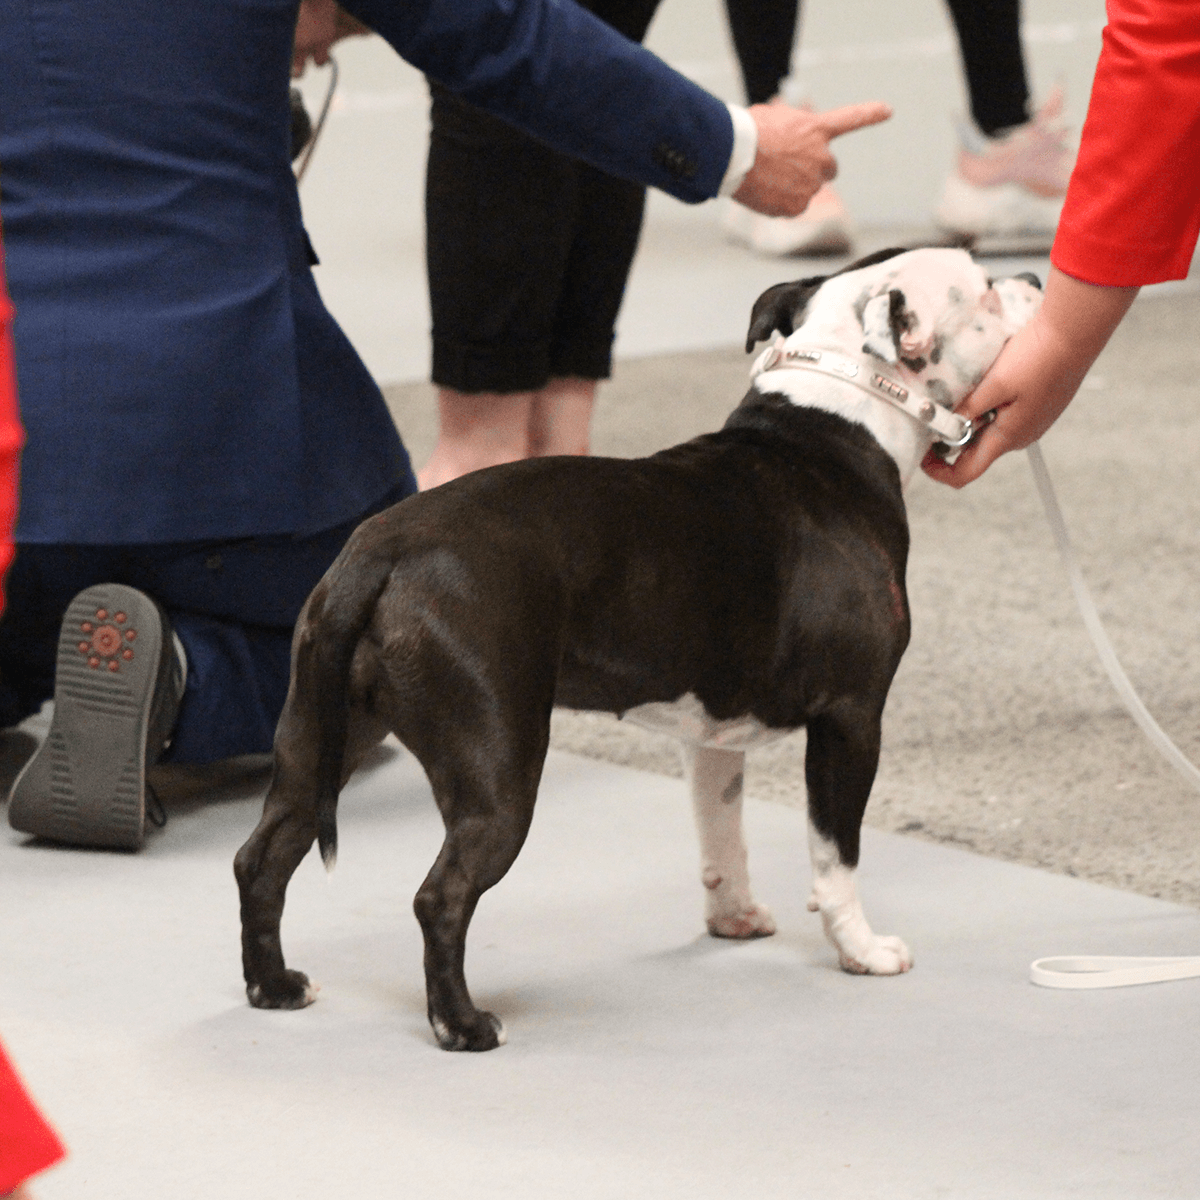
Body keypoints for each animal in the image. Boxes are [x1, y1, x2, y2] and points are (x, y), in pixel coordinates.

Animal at [234, 246, 1041, 1051]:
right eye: (984, 289)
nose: (1035, 279)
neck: (840, 418)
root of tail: (379, 555)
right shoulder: (851, 719)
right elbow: (836, 853)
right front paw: (863, 951)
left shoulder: (713, 734)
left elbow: (722, 833)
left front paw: (733, 919)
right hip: (497, 770)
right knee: (441, 895)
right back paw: (462, 1025)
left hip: (320, 737)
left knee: (263, 858)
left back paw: (274, 988)